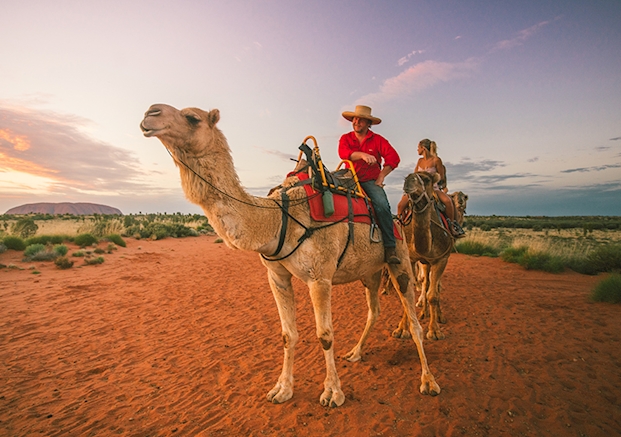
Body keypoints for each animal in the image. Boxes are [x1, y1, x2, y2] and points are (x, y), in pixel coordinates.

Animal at [140, 102, 440, 406]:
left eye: (192, 118)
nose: (150, 113)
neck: (278, 217)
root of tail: (398, 221)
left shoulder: (319, 277)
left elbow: (325, 335)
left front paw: (332, 393)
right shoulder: (277, 275)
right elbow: (287, 334)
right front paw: (282, 389)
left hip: (400, 260)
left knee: (412, 317)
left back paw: (428, 380)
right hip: (370, 272)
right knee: (374, 310)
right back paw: (355, 352)